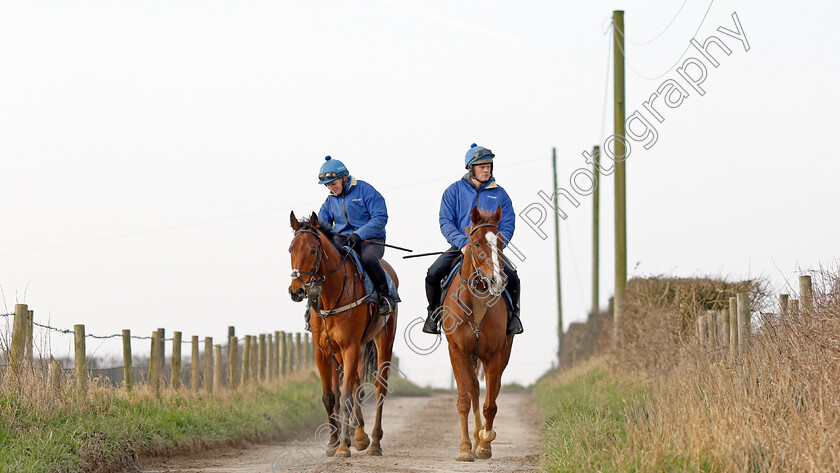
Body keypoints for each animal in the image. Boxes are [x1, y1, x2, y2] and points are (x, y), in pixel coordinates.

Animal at [288, 211, 398, 458]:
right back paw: (361, 436)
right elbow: (331, 396)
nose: (296, 291)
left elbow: (346, 395)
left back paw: (374, 442)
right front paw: (333, 442)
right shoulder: (323, 351)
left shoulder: (350, 346)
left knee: (379, 388)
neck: (330, 296)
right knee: (357, 387)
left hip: (383, 341)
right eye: (291, 249)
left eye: (313, 250)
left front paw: (344, 445)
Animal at [442, 204, 516, 460]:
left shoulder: (493, 354)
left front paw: (485, 443)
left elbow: (490, 404)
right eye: (475, 243)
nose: (498, 280)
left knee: (493, 389)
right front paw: (465, 448)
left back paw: (482, 437)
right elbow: (465, 400)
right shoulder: (457, 351)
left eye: (501, 242)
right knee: (474, 390)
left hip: (503, 354)